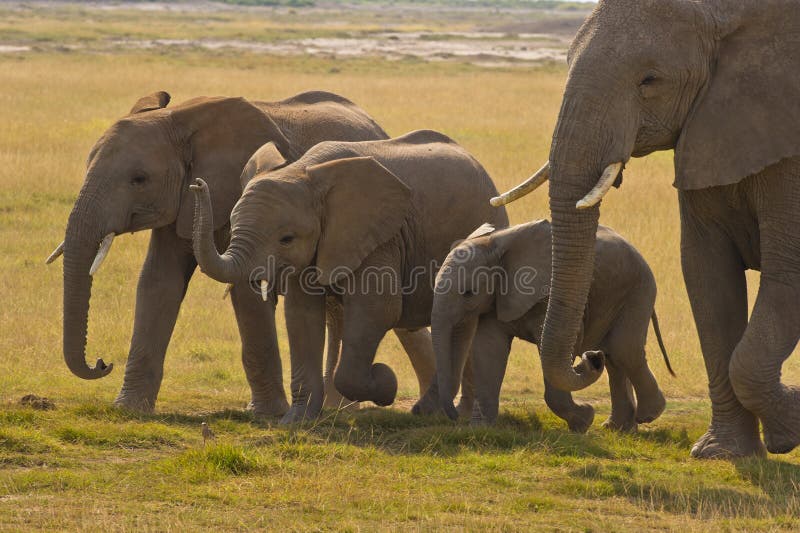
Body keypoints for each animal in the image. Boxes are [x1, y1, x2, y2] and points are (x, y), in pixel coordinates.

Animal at [48, 90, 438, 416]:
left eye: (139, 179)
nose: (102, 363)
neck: (179, 119)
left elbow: (247, 291)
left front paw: (268, 414)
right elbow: (159, 282)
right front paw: (129, 409)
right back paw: (340, 407)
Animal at [191, 130, 510, 424]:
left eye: (286, 239)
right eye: (232, 225)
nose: (197, 184)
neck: (305, 171)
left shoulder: (381, 238)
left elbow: (378, 309)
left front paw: (386, 381)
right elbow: (301, 316)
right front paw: (296, 423)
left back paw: (455, 417)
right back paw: (450, 415)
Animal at [418, 220, 676, 432]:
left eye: (468, 293)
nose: (591, 359)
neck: (493, 244)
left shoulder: (545, 293)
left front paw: (584, 420)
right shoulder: (494, 298)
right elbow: (489, 350)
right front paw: (480, 429)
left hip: (639, 288)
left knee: (624, 350)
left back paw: (647, 415)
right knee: (613, 356)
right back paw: (618, 428)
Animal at [490, 0, 800, 458]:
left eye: (649, 80)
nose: (588, 358)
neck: (725, 14)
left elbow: (787, 272)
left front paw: (788, 429)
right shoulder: (707, 128)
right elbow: (707, 275)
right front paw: (721, 453)